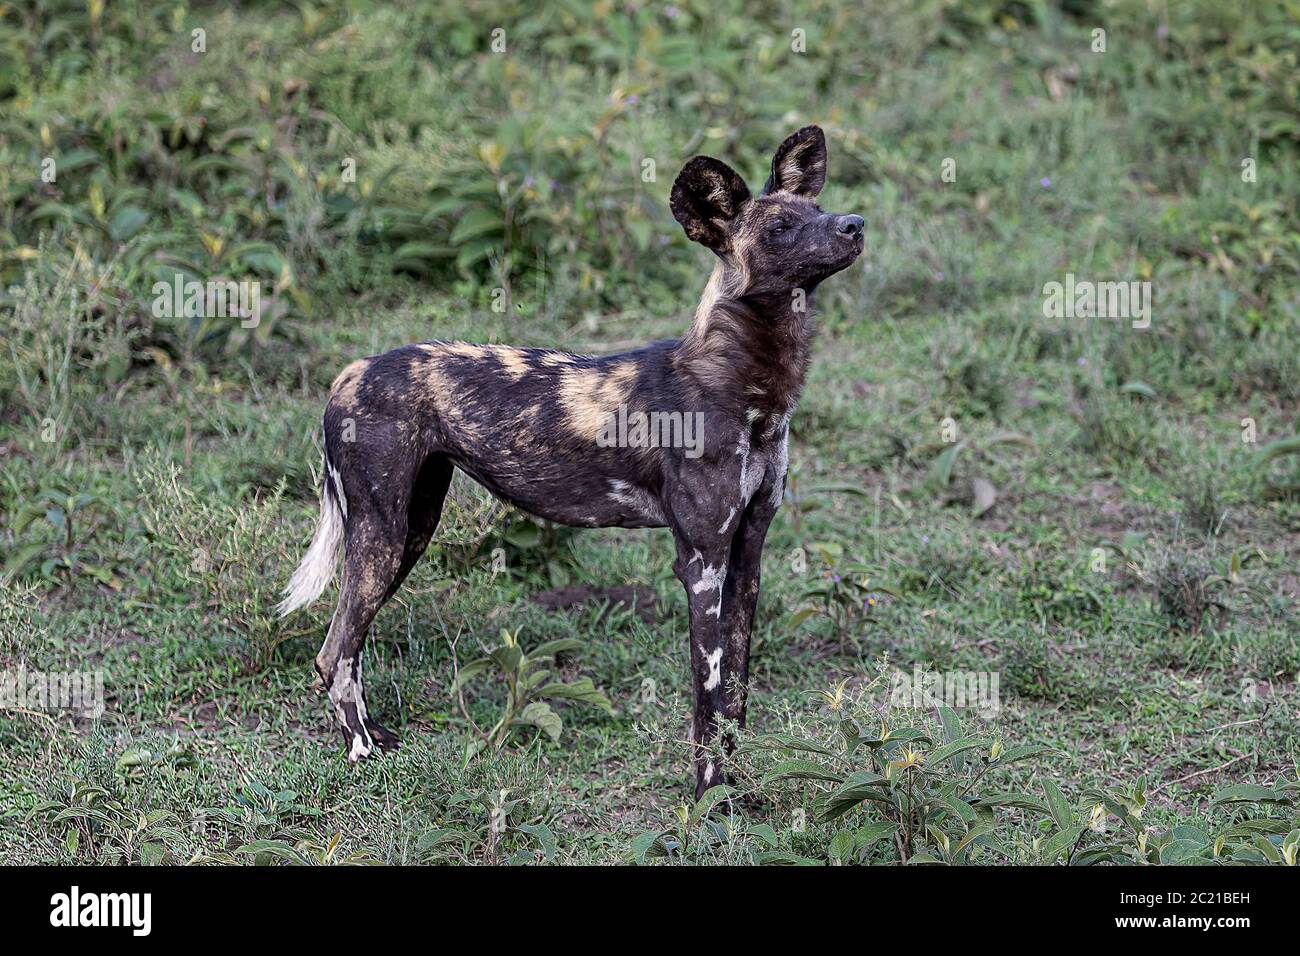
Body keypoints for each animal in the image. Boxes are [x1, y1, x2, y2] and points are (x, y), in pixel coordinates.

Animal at [284, 127, 863, 801]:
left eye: (818, 209)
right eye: (779, 229)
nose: (854, 224)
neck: (750, 388)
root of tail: (352, 370)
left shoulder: (745, 559)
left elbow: (735, 702)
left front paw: (736, 792)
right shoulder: (701, 564)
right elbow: (707, 700)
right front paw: (707, 802)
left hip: (411, 529)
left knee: (347, 645)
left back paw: (376, 735)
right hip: (382, 535)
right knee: (334, 651)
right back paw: (361, 752)